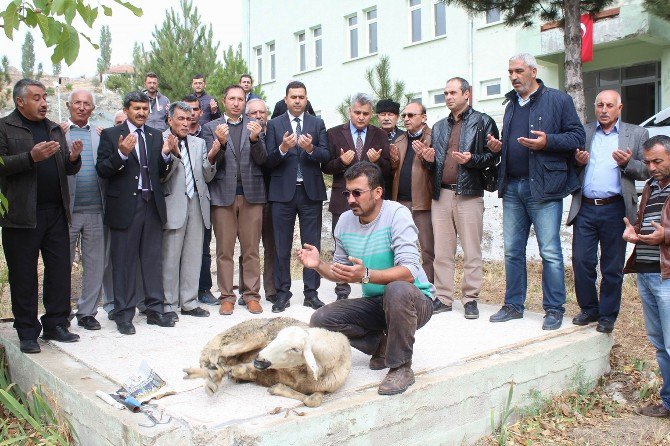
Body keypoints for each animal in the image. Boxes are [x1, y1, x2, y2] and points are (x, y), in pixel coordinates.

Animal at [184, 316, 352, 406]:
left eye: (295, 349)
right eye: (276, 337)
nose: (259, 358)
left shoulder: (324, 388)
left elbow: (314, 400)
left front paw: (277, 388)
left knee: (222, 362)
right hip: (253, 336)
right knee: (216, 354)